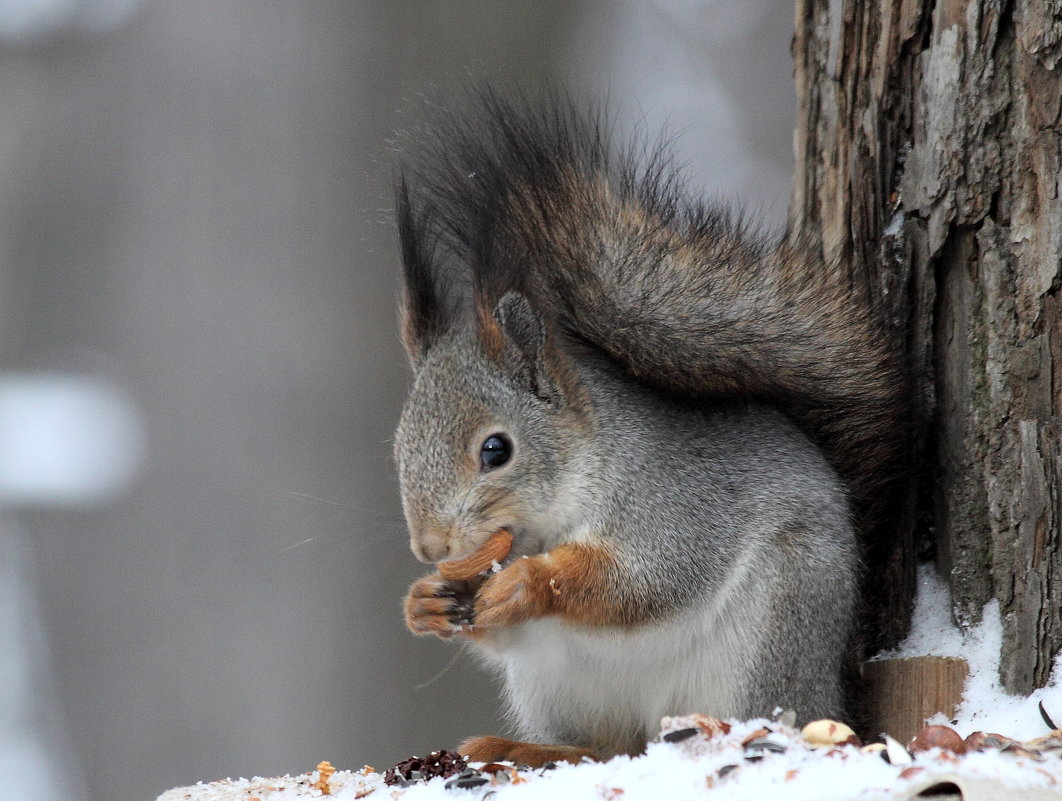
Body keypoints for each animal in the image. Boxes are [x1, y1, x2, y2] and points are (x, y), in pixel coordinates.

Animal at [390, 90, 904, 764]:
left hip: (773, 627)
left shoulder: (672, 500)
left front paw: (529, 580)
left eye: (496, 450)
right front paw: (425, 602)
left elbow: (650, 579)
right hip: (553, 684)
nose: (432, 549)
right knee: (604, 747)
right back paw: (527, 750)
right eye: (399, 450)